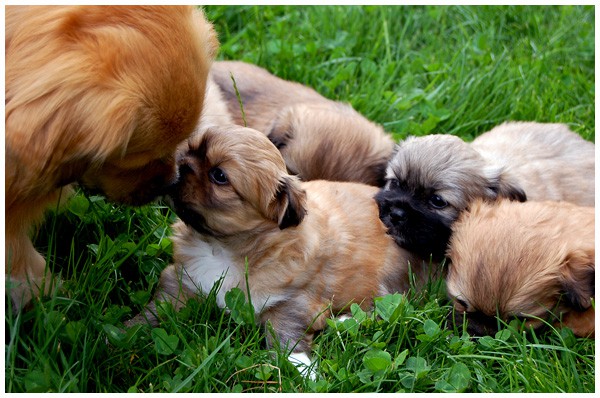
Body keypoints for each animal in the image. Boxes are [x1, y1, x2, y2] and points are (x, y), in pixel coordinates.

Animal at [129, 126, 434, 374]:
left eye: (219, 175)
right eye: (190, 150)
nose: (180, 164)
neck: (224, 248)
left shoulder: (296, 300)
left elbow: (284, 333)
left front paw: (302, 369)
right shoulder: (182, 280)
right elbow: (155, 311)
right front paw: (127, 333)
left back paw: (345, 321)